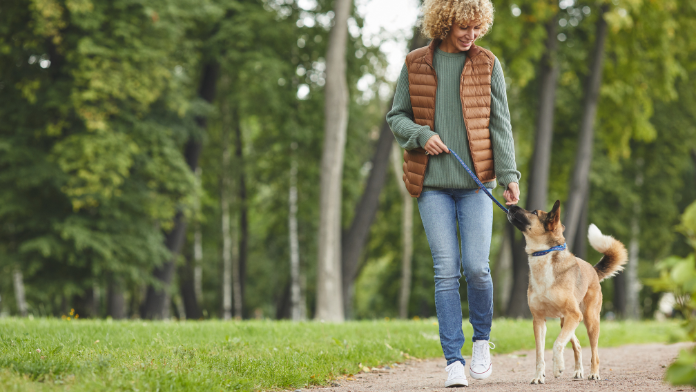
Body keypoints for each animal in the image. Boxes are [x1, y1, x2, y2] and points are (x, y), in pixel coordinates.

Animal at [506, 201, 632, 384]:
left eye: (534, 212)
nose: (511, 206)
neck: (544, 255)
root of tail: (593, 270)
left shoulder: (573, 315)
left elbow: (557, 343)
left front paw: (558, 367)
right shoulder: (539, 320)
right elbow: (539, 353)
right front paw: (538, 376)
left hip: (588, 319)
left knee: (594, 352)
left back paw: (594, 374)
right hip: (565, 321)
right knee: (577, 344)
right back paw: (578, 371)